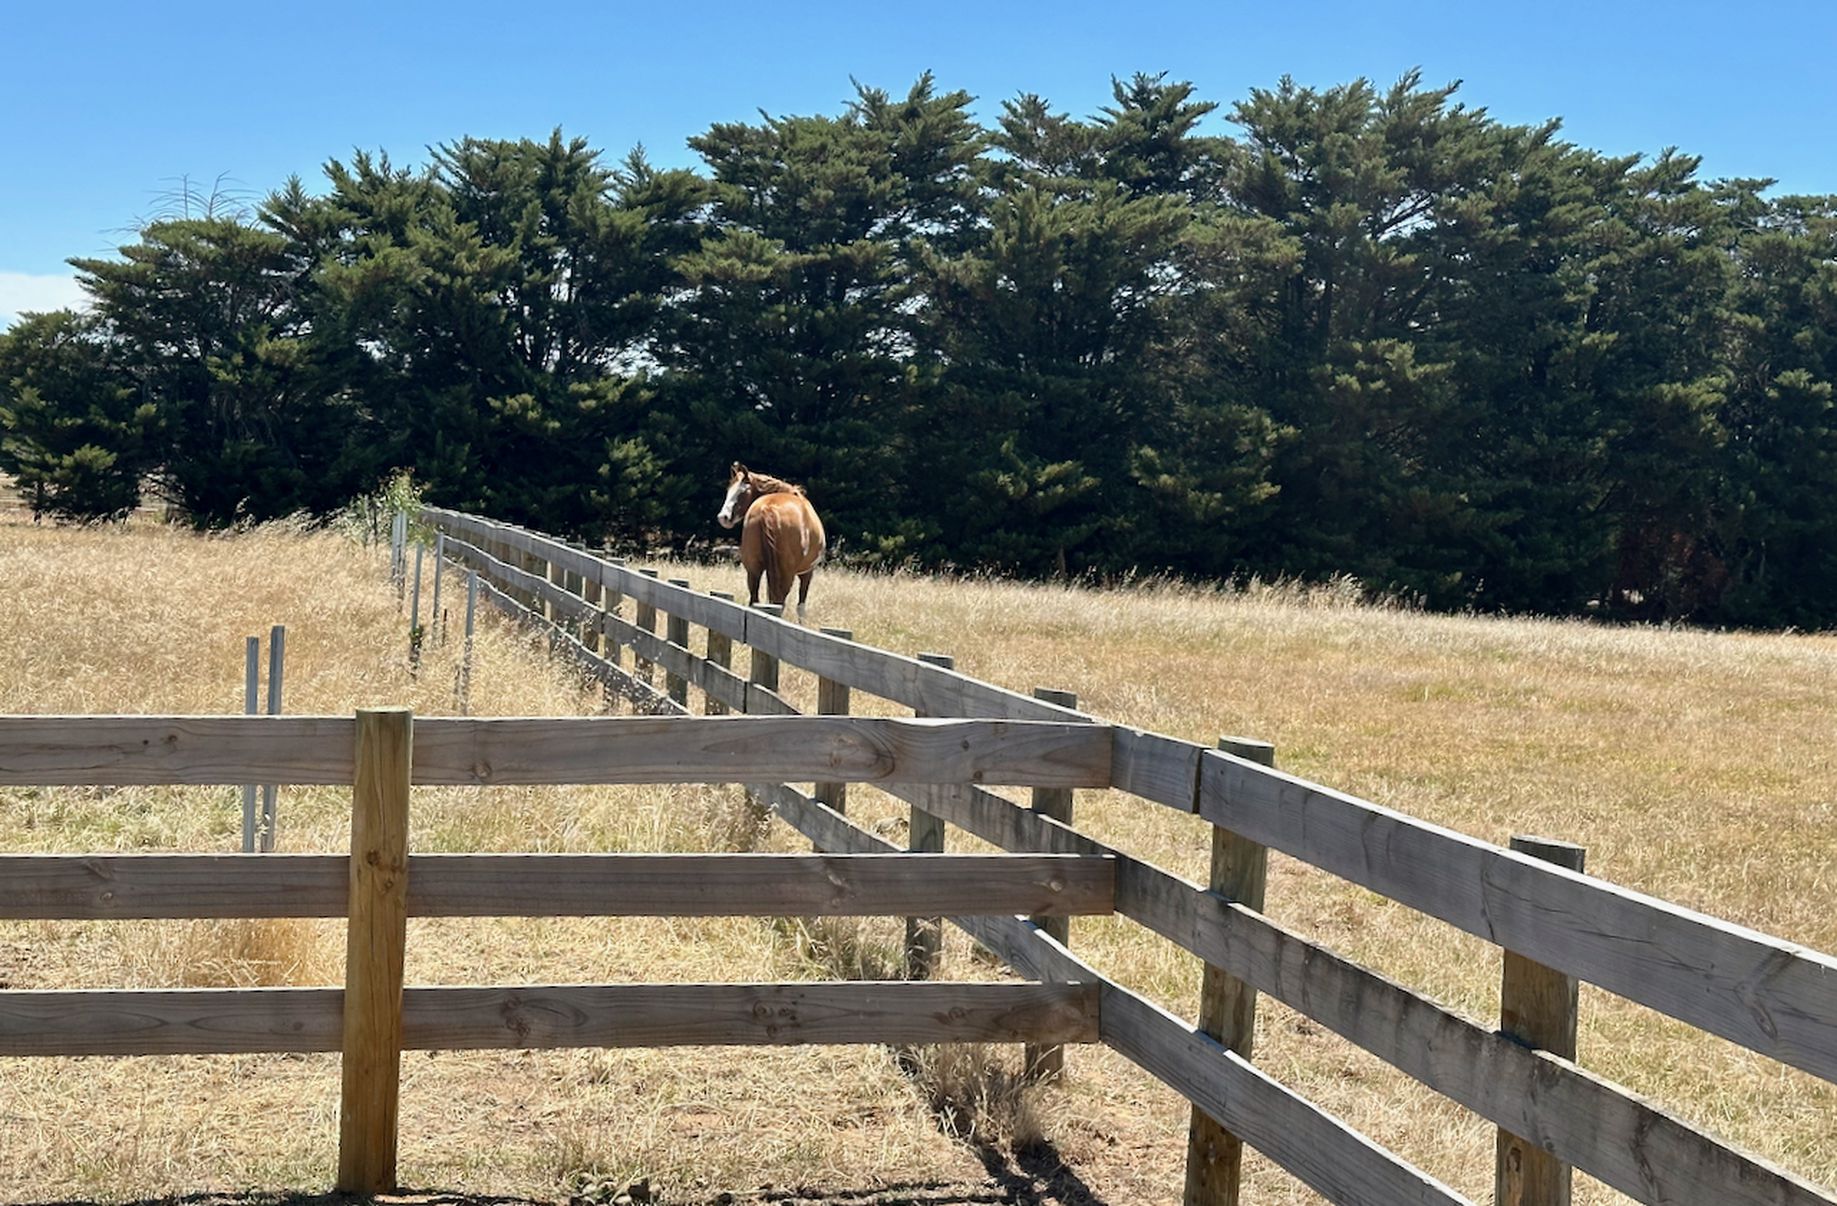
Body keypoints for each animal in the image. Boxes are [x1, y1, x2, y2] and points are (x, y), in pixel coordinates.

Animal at [716, 460, 826, 620]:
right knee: (779, 602)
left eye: (742, 491)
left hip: (754, 570)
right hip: (786, 574)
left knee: (755, 600)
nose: (723, 517)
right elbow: (801, 607)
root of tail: (768, 508)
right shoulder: (807, 573)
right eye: (729, 490)